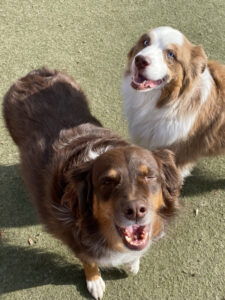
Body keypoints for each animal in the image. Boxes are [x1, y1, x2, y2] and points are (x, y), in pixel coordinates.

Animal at [3, 67, 182, 298]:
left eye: (150, 176)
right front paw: (94, 281)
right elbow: (89, 261)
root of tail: (34, 73)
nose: (135, 211)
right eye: (107, 181)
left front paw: (132, 263)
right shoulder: (76, 239)